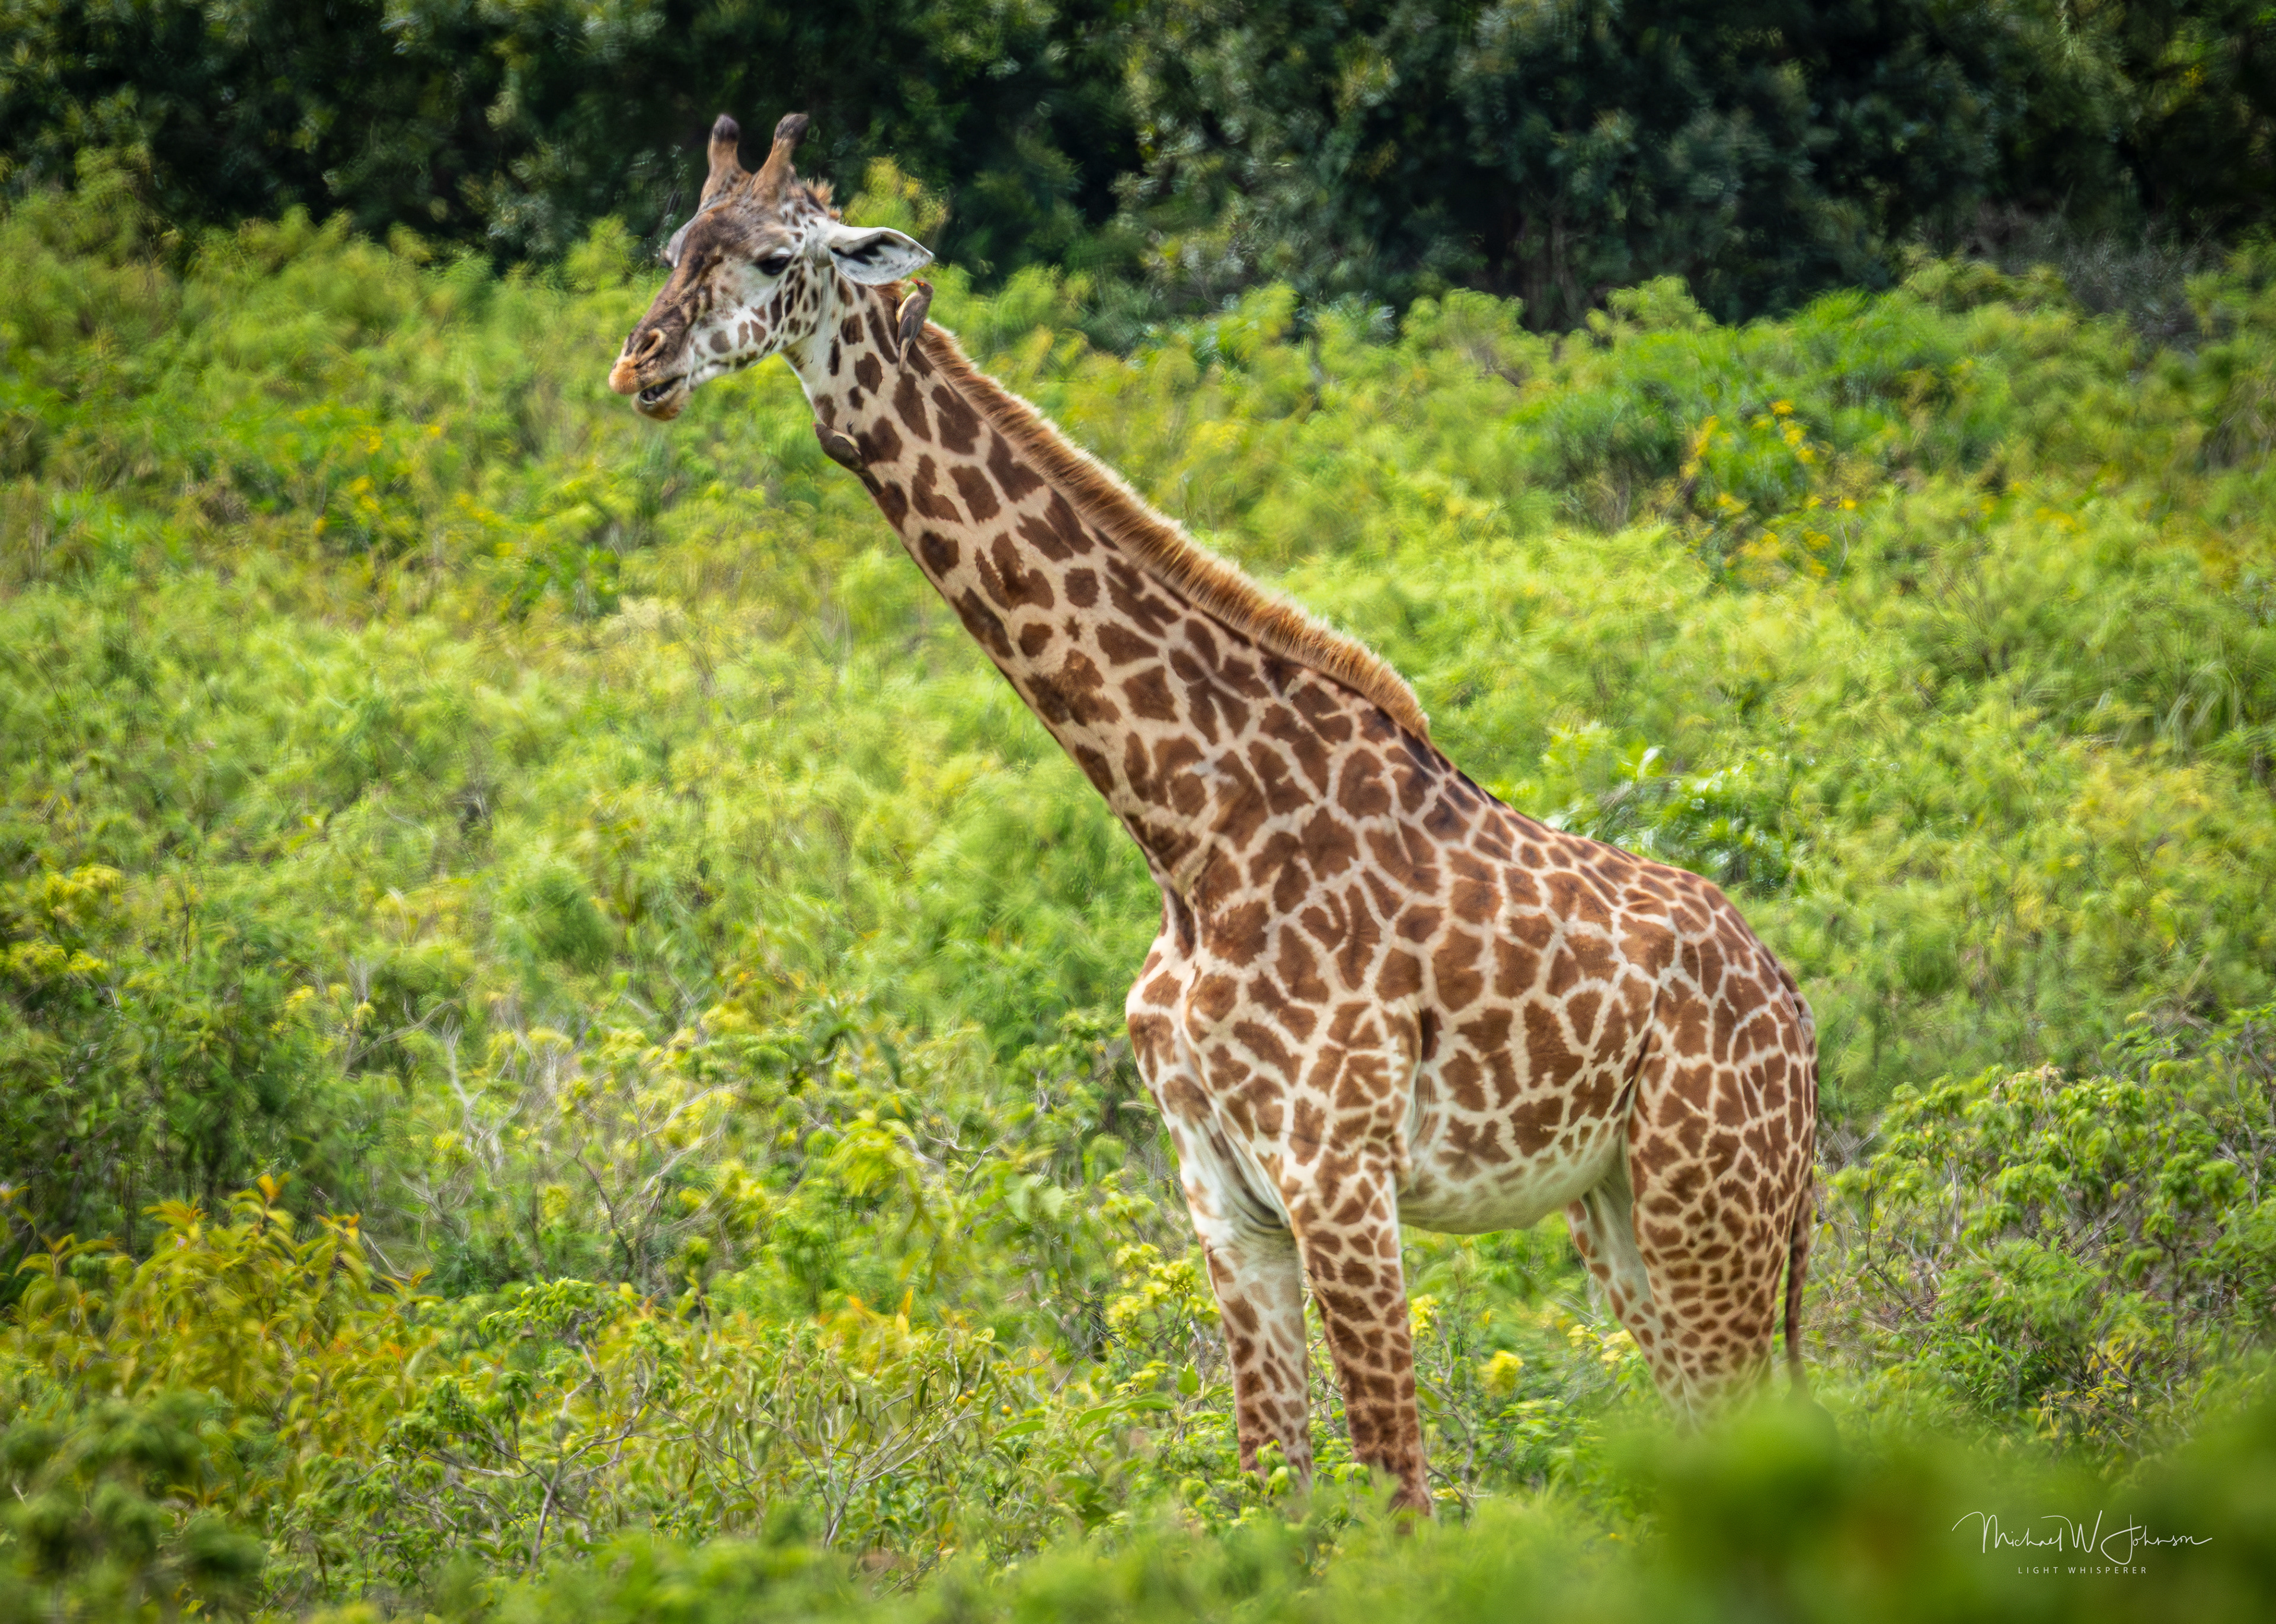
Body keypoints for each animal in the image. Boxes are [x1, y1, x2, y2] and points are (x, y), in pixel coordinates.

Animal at [608, 113, 1819, 1512]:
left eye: (769, 259)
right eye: (672, 244)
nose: (640, 362)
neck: (1192, 833)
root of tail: (1800, 1020)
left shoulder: (1340, 1174)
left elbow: (1396, 1484)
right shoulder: (1222, 1197)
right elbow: (1268, 1484)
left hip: (1710, 1201)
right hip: (1620, 1209)